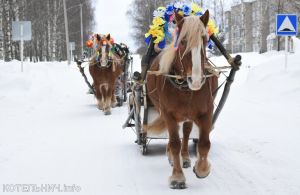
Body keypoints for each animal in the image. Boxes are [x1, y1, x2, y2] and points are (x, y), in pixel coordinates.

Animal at [146, 9, 217, 188]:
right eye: (183, 41)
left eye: (205, 39)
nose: (196, 80)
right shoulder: (168, 113)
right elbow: (174, 143)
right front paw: (177, 177)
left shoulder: (206, 112)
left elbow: (204, 142)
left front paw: (202, 169)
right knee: (176, 136)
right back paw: (172, 157)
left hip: (189, 115)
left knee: (185, 132)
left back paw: (184, 157)